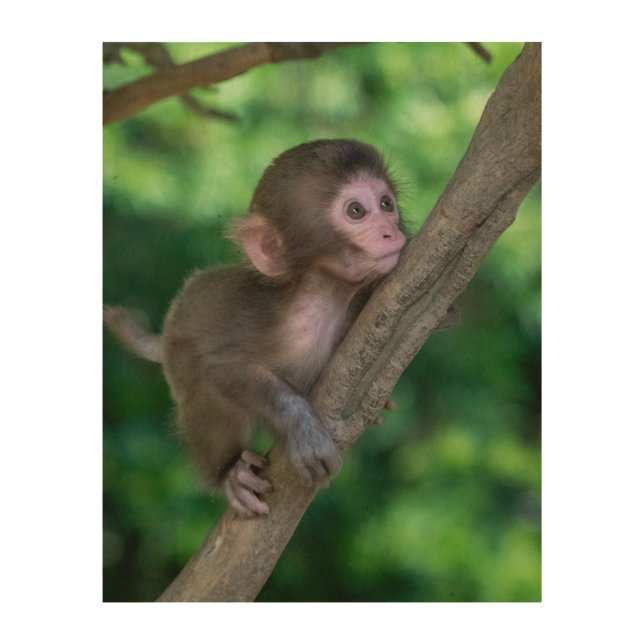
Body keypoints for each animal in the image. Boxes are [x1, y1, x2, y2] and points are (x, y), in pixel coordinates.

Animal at [105, 139, 410, 518]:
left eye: (386, 203)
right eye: (356, 211)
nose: (391, 231)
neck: (322, 299)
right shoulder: (256, 321)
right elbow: (221, 367)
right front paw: (302, 431)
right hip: (179, 358)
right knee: (203, 390)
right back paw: (228, 473)